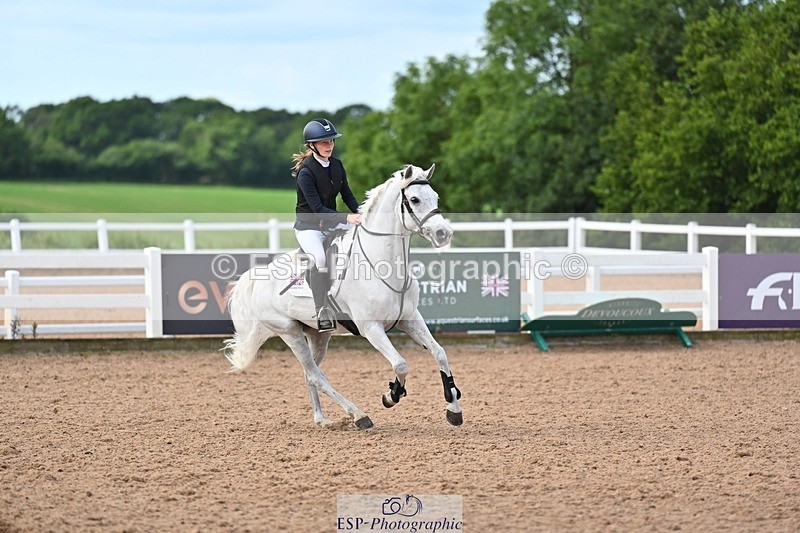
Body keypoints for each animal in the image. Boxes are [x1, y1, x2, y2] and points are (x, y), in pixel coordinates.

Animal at [223, 164, 463, 429]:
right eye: (414, 199)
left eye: (436, 197)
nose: (443, 233)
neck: (383, 265)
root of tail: (256, 277)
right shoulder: (371, 328)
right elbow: (401, 364)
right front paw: (391, 395)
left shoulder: (409, 319)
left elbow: (440, 353)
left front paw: (453, 408)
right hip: (289, 332)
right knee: (315, 375)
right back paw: (358, 414)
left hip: (317, 335)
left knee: (311, 373)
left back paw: (321, 418)